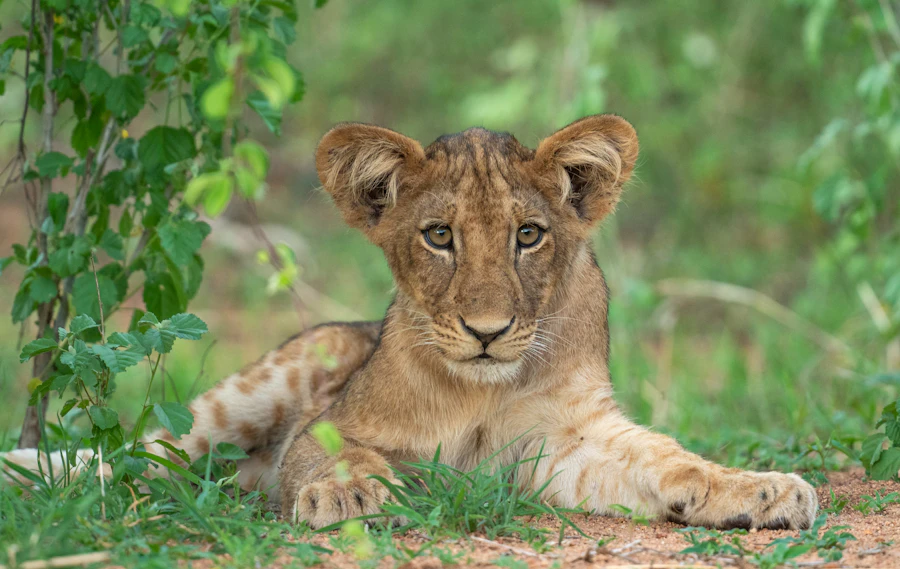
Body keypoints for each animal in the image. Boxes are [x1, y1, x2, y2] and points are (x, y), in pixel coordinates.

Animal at [3, 115, 817, 531]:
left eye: (528, 235)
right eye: (439, 236)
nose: (487, 330)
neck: (484, 388)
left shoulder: (566, 443)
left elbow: (670, 458)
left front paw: (763, 490)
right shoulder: (334, 420)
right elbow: (331, 451)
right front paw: (346, 494)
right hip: (277, 375)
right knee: (141, 456)